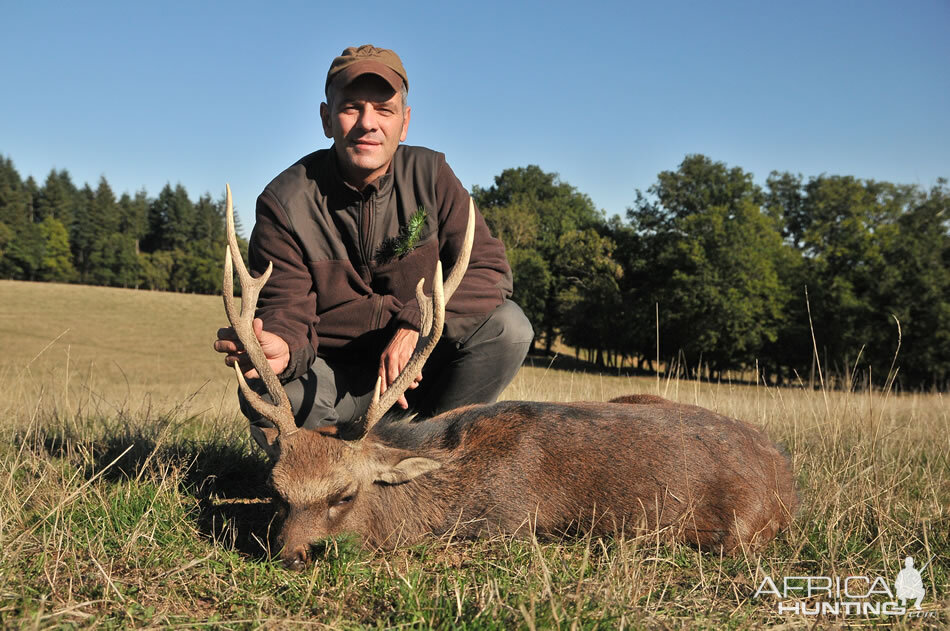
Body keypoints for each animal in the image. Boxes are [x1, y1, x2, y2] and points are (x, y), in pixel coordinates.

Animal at [221, 185, 796, 572]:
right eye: (276, 491)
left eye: (343, 495)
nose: (291, 555)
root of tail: (785, 477)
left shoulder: (508, 526)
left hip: (736, 532)